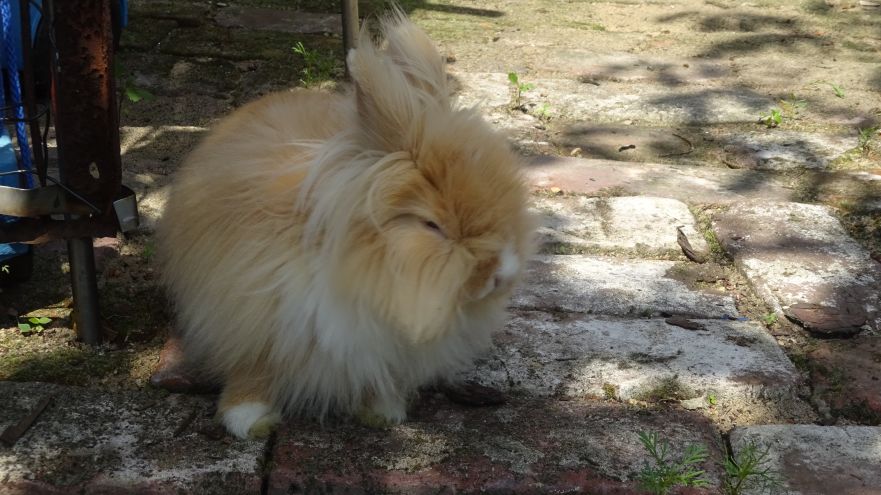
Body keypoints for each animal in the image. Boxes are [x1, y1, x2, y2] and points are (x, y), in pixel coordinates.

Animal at [155, 10, 535, 440]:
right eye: (432, 225)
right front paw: (248, 421)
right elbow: (253, 371)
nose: (502, 275)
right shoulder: (252, 315)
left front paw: (383, 412)